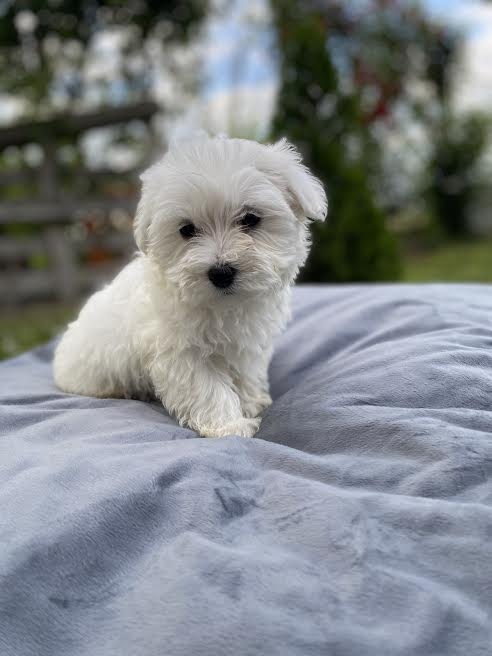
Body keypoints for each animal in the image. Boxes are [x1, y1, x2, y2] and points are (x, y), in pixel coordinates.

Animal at [52, 136, 326, 438]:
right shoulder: (179, 351)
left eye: (250, 219)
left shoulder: (248, 343)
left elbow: (247, 372)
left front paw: (252, 401)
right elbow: (207, 387)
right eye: (186, 230)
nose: (221, 272)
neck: (224, 306)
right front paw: (230, 425)